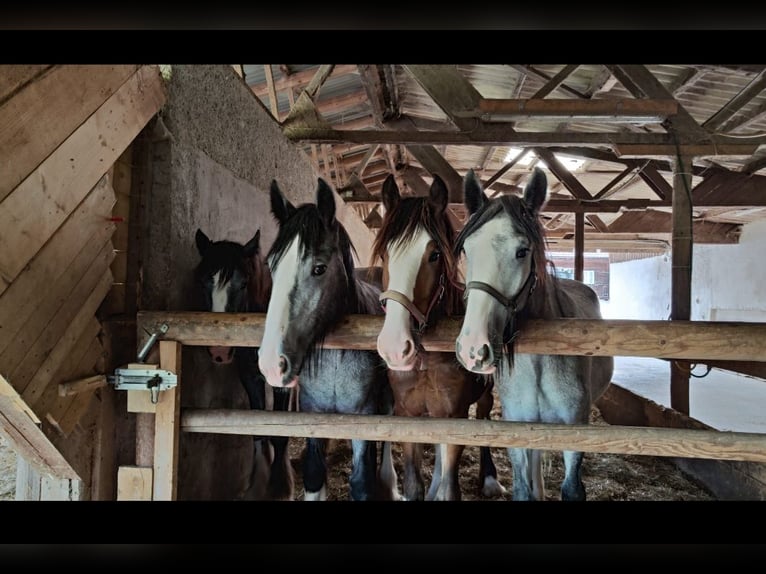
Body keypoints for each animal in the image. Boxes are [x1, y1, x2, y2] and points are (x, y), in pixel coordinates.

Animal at [194, 227, 295, 500]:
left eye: (243, 283)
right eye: (203, 281)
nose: (219, 350)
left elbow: (280, 434)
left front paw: (280, 487)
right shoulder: (249, 377)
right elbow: (258, 429)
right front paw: (258, 486)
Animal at [257, 178, 399, 501]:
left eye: (319, 268)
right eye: (272, 266)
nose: (272, 364)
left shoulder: (364, 416)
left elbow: (362, 481)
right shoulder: (313, 414)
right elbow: (313, 475)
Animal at [372, 173, 505, 501]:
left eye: (434, 255)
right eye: (384, 254)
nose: (395, 348)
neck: (428, 361)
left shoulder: (455, 415)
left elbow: (450, 486)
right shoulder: (409, 414)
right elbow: (414, 484)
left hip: (483, 394)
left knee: (484, 415)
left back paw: (490, 479)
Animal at [454, 167, 614, 501]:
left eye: (522, 251)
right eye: (466, 250)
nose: (474, 349)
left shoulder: (574, 433)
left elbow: (572, 489)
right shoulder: (519, 431)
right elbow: (523, 489)